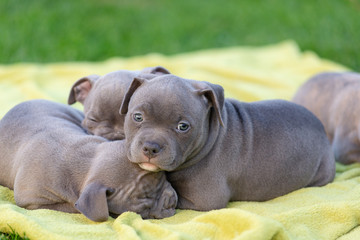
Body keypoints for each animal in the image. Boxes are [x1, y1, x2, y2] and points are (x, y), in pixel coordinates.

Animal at [0, 99, 177, 221]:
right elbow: (71, 207)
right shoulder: (33, 201)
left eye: (164, 178)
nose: (172, 199)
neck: (85, 158)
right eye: (144, 203)